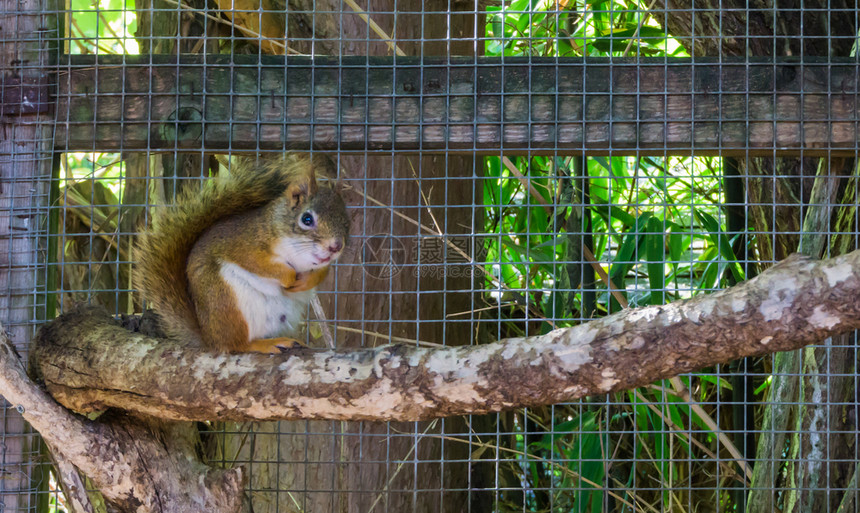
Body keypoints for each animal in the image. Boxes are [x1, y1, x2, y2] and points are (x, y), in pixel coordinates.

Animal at [134, 155, 350, 352]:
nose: (336, 246)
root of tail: (208, 337)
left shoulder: (323, 264)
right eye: (306, 219)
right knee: (235, 345)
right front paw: (289, 277)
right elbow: (258, 263)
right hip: (227, 302)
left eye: (347, 222)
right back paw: (262, 344)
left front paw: (304, 282)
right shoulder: (244, 245)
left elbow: (321, 273)